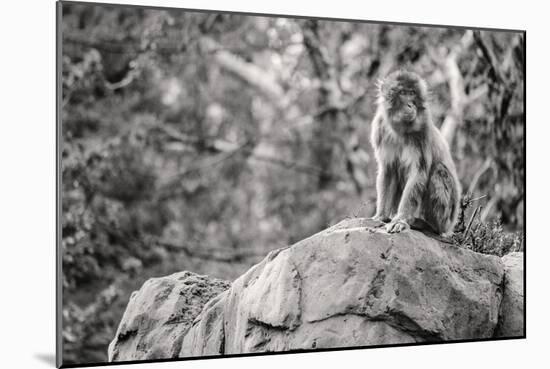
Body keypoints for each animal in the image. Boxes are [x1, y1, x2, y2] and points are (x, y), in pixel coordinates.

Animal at [374, 69, 464, 236]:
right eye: (403, 92)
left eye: (412, 93)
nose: (410, 105)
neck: (400, 130)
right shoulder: (380, 128)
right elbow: (388, 171)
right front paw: (381, 216)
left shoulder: (423, 131)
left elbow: (418, 173)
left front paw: (400, 220)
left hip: (447, 217)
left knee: (439, 171)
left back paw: (425, 224)